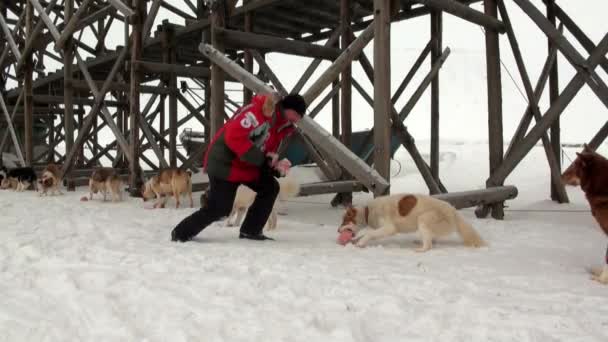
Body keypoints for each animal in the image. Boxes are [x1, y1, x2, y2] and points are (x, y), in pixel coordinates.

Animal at [338, 192, 484, 251]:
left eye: (344, 220)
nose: (338, 230)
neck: (368, 211)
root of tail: (453, 211)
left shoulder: (389, 228)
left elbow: (369, 234)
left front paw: (361, 243)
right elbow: (365, 233)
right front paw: (356, 239)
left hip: (424, 219)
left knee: (429, 245)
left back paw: (420, 249)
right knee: (431, 239)